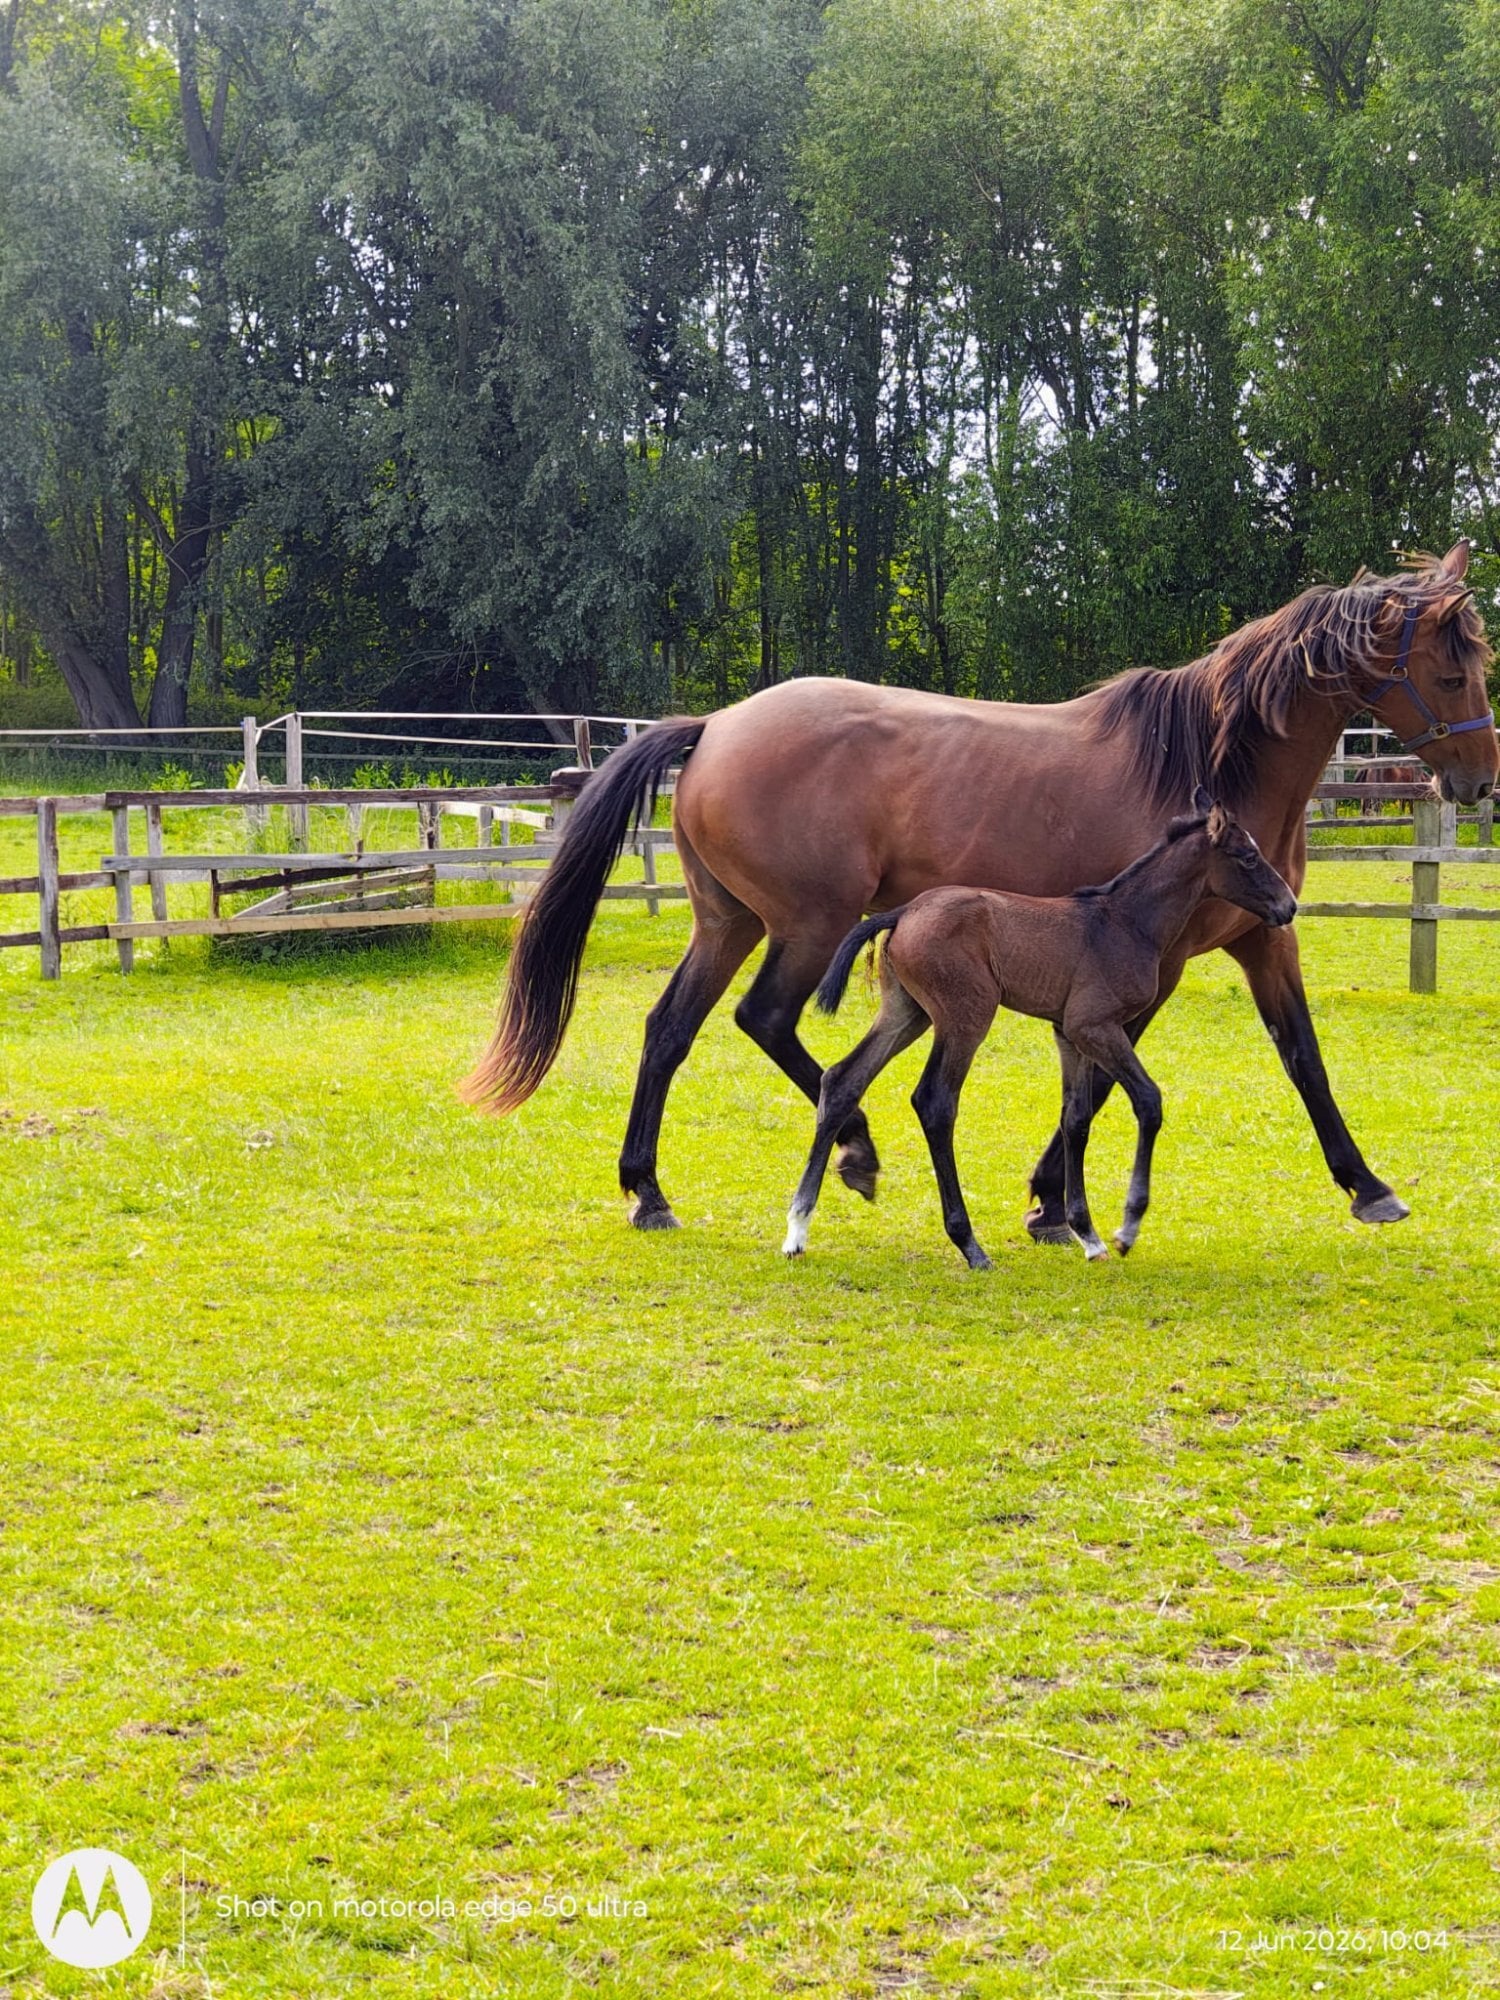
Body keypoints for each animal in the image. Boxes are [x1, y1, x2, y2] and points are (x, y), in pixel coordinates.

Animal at [783, 792, 1297, 1268]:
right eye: (1248, 857)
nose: (1288, 906)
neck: (1125, 922)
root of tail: (904, 912)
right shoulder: (1096, 1026)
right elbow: (1148, 1101)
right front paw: (1126, 1228)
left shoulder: (1068, 1035)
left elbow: (1076, 1119)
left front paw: (1088, 1236)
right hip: (965, 1016)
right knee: (934, 1102)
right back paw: (970, 1245)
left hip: (906, 1012)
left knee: (843, 1080)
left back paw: (797, 1230)